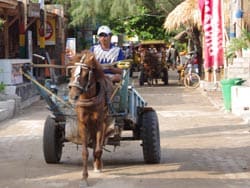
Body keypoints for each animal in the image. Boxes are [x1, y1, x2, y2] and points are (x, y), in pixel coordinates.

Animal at [68, 50, 115, 187]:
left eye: (85, 73)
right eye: (71, 71)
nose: (73, 96)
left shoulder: (99, 123)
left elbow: (98, 149)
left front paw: (98, 165)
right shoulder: (83, 124)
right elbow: (85, 152)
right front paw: (84, 178)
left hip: (104, 121)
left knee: (99, 143)